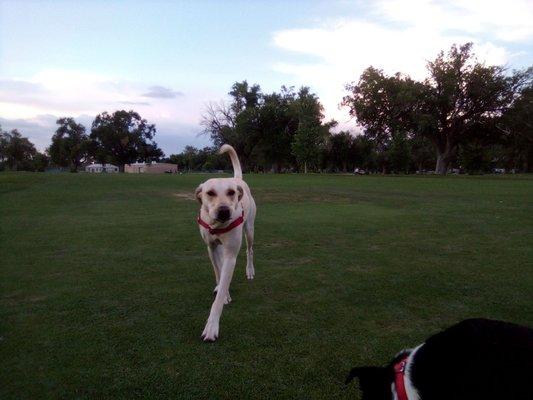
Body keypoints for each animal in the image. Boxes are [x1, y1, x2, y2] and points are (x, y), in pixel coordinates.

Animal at [194, 144, 256, 340]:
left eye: (231, 193)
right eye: (210, 193)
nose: (223, 211)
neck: (218, 226)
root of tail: (237, 179)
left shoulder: (231, 255)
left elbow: (220, 295)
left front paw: (212, 326)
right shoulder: (211, 248)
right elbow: (218, 272)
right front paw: (223, 290)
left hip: (249, 230)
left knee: (250, 250)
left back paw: (250, 270)